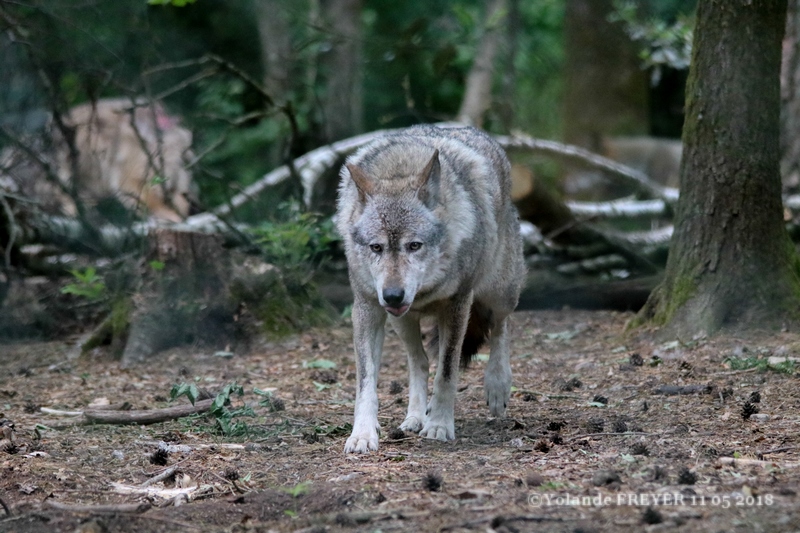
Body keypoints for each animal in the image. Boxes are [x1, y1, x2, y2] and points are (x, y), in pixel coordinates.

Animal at [336, 124, 524, 454]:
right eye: (376, 247)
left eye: (414, 245)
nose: (393, 295)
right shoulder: (367, 308)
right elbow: (366, 383)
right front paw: (363, 434)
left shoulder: (458, 305)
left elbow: (446, 372)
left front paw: (439, 425)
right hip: (400, 321)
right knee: (419, 361)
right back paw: (413, 418)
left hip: (499, 291)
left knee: (502, 325)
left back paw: (498, 387)